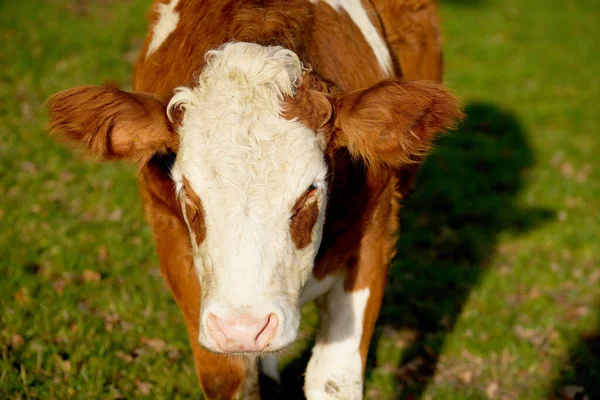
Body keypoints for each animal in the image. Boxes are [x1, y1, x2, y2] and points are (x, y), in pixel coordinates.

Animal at [47, 0, 462, 396]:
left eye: (310, 189)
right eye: (187, 191)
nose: (243, 329)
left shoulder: (376, 230)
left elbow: (333, 379)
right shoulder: (167, 231)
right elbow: (226, 374)